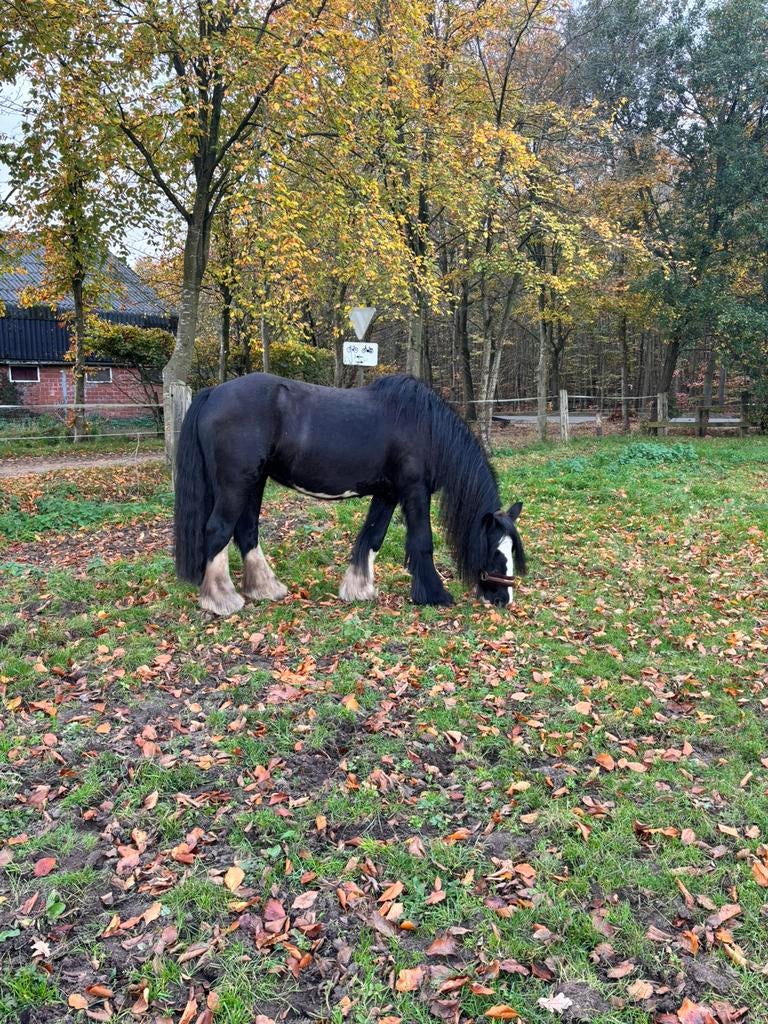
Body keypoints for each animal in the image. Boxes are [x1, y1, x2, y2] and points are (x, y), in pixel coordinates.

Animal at [174, 372, 527, 616]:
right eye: (496, 552)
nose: (504, 599)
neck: (425, 427)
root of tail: (214, 393)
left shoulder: (388, 494)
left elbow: (372, 537)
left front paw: (359, 589)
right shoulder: (414, 490)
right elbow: (422, 542)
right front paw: (435, 595)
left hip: (254, 482)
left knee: (246, 531)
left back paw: (265, 588)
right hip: (236, 483)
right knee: (218, 530)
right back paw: (221, 600)